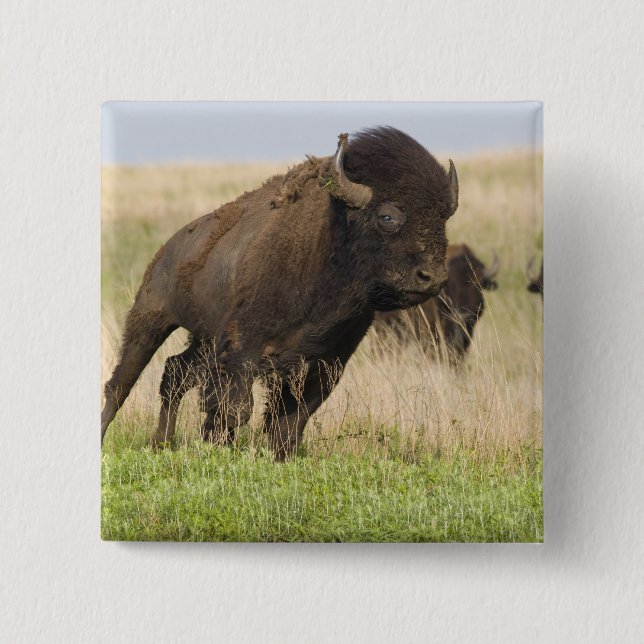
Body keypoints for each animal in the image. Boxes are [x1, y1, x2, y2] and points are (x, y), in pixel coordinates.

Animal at [101, 127, 459, 460]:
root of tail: (168, 248)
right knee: (121, 384)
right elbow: (235, 409)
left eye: (442, 218)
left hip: (202, 341)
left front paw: (276, 456)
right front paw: (220, 447)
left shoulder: (326, 364)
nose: (433, 277)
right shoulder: (241, 349)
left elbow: (290, 421)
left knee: (174, 373)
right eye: (387, 216)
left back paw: (161, 444)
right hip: (150, 319)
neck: (329, 241)